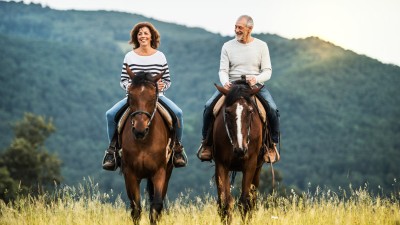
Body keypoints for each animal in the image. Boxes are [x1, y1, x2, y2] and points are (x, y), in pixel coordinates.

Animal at [120, 66, 173, 224]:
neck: (144, 142)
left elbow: (156, 206)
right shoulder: (130, 173)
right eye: (130, 96)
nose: (139, 130)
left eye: (153, 97)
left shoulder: (159, 172)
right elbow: (136, 208)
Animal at [212, 80, 266, 223]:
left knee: (252, 200)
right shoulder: (221, 165)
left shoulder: (250, 165)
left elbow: (245, 202)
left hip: (258, 168)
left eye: (250, 111)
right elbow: (225, 202)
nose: (240, 150)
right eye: (227, 112)